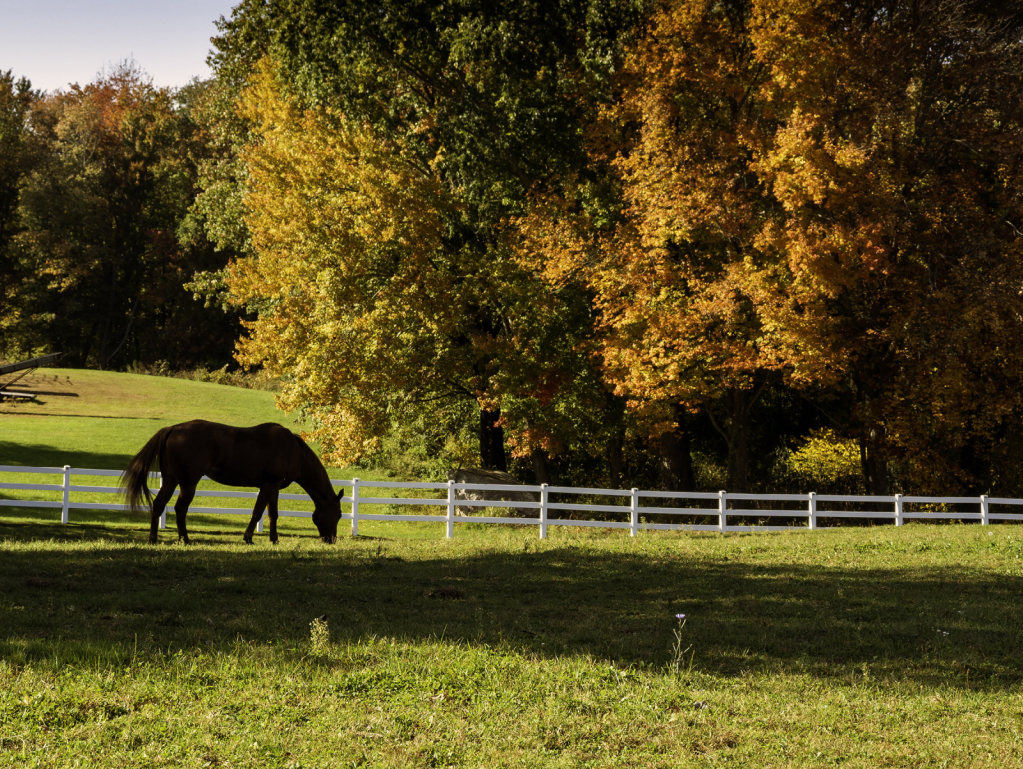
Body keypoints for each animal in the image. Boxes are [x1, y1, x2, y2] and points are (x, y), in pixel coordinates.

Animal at [118, 421, 343, 548]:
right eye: (339, 514)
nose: (331, 539)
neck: (293, 449)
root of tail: (173, 429)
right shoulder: (269, 484)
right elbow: (258, 512)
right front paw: (248, 538)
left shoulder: (274, 486)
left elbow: (273, 514)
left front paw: (274, 539)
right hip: (188, 484)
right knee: (180, 508)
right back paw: (185, 540)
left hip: (171, 481)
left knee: (159, 505)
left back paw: (153, 539)